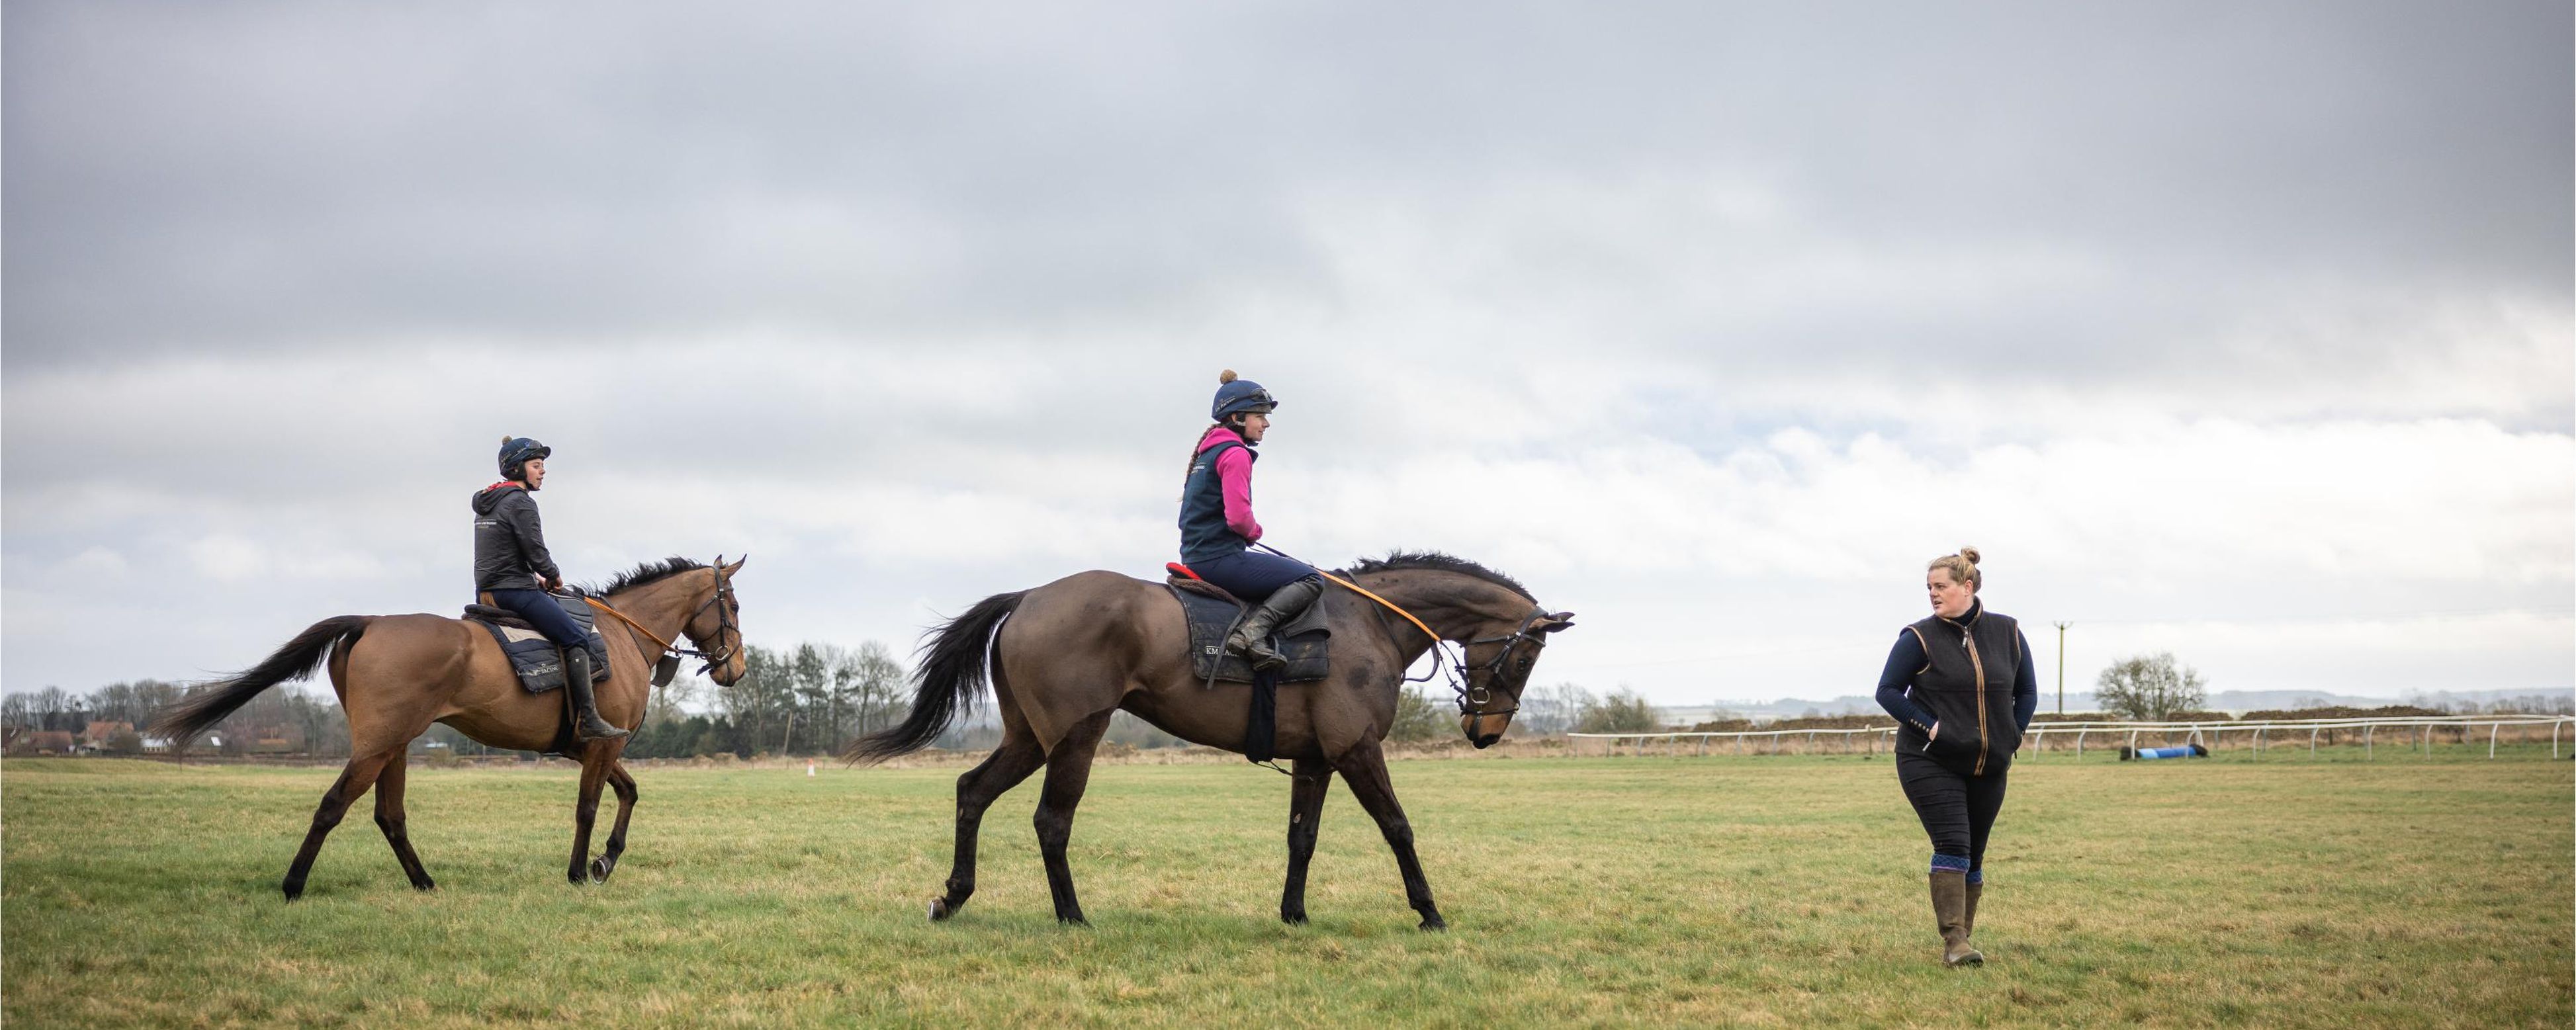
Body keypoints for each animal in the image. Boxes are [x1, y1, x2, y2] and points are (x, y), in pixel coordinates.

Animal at [150, 556, 748, 899]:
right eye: (734, 604)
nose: (735, 668)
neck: (622, 635)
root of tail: (372, 622)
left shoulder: (591, 747)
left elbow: (629, 792)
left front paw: (606, 859)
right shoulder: (602, 745)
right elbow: (589, 807)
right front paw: (581, 871)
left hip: (395, 746)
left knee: (389, 816)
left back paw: (423, 882)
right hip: (377, 746)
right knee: (333, 805)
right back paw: (295, 884)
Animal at [845, 550, 1573, 930]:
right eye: (1523, 657)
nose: (1485, 731)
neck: (1365, 621)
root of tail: (1029, 596)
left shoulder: (1314, 759)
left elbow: (1302, 838)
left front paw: (1293, 914)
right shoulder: (1355, 749)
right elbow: (1398, 827)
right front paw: (1429, 911)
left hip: (1029, 739)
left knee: (972, 791)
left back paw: (954, 895)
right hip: (1075, 738)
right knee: (1051, 821)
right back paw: (1072, 915)